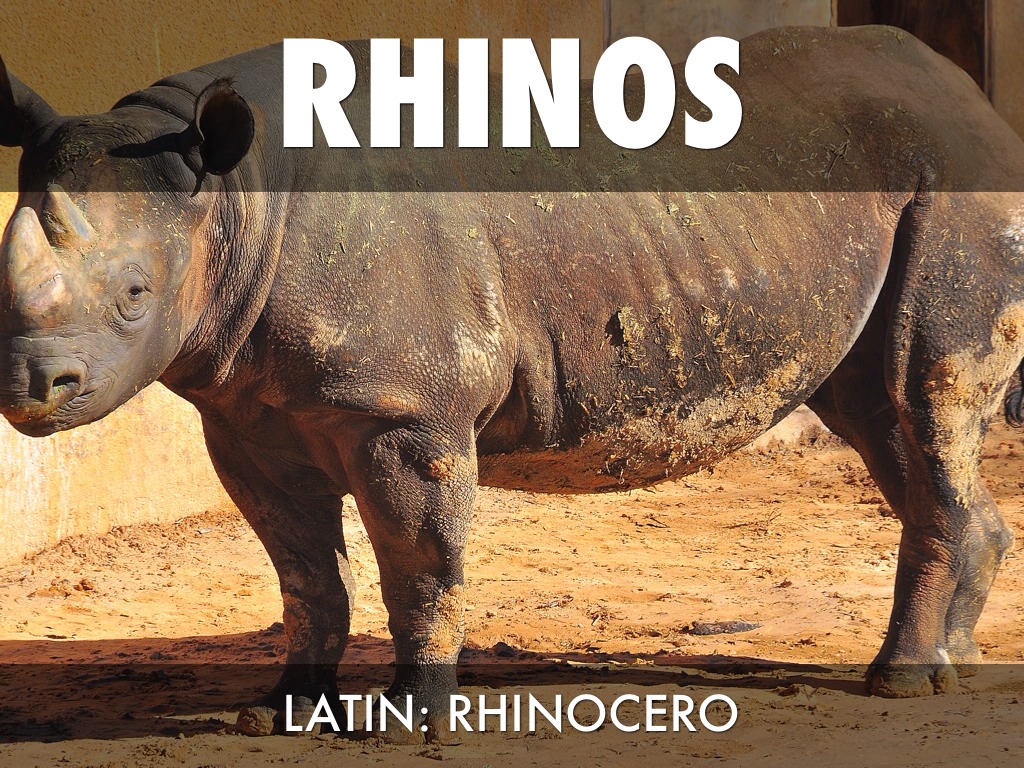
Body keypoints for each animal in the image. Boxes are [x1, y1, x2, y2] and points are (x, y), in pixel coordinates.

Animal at [1, 25, 1023, 738]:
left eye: (135, 296)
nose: (28, 387)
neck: (231, 199)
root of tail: (978, 101)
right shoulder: (246, 410)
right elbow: (303, 571)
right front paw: (280, 712)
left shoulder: (403, 409)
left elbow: (419, 561)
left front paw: (409, 724)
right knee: (886, 418)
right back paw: (955, 660)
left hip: (956, 182)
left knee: (927, 397)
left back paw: (900, 681)